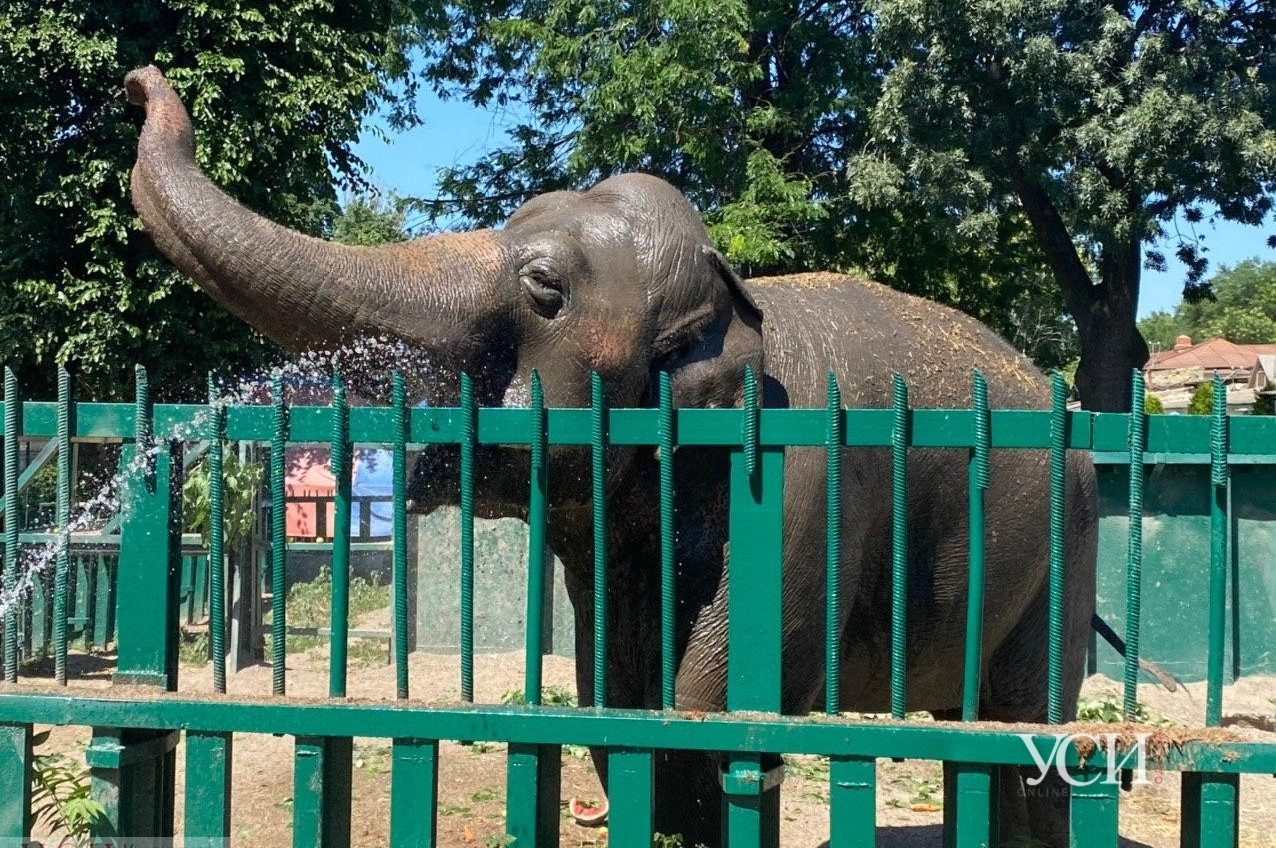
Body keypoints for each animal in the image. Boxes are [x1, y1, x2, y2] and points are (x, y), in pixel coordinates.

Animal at [124, 67, 1092, 846]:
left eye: (545, 288)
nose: (138, 83)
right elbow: (613, 692)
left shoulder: (802, 486)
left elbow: (715, 703)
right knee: (969, 732)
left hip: (1066, 549)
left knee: (1030, 729)